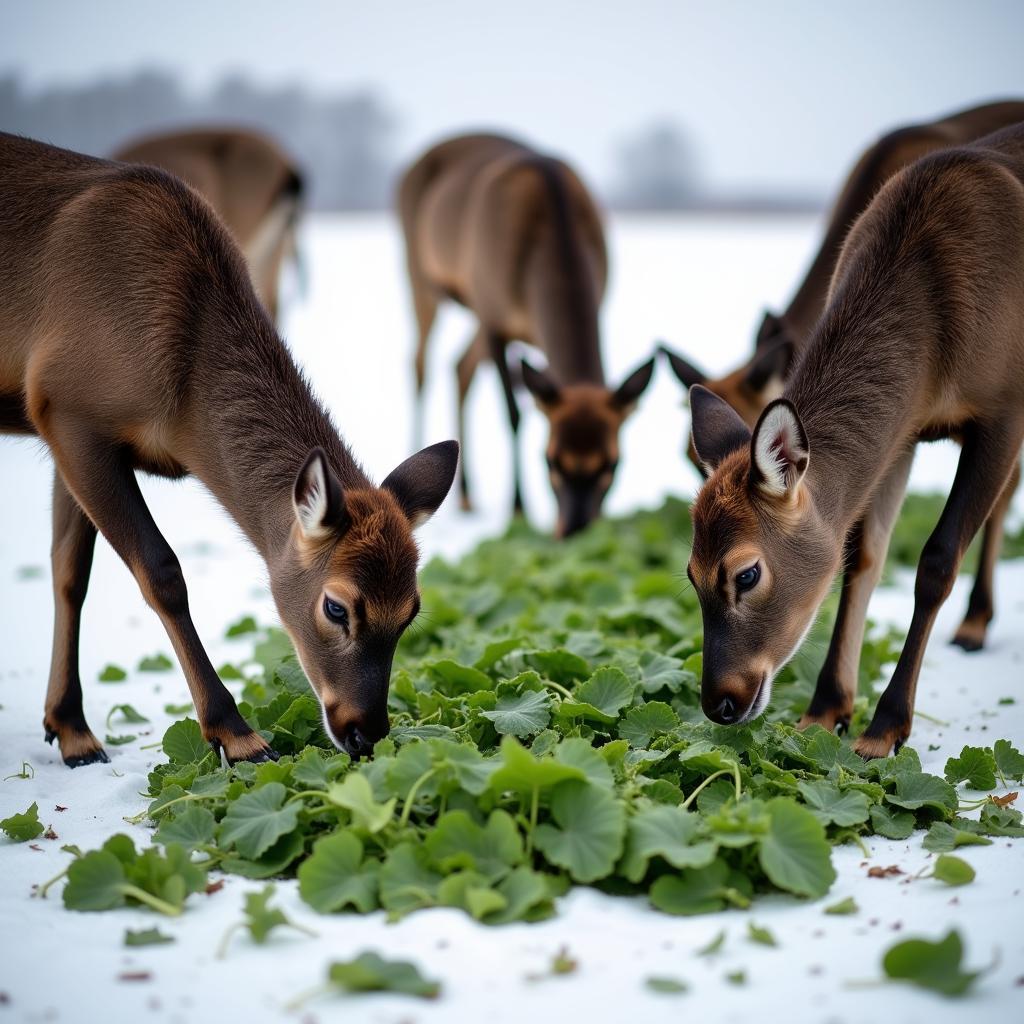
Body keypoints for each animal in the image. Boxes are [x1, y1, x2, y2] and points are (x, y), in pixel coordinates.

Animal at [395, 130, 651, 536]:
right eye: (551, 460)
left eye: (613, 462)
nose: (574, 530)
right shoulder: (493, 317)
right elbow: (514, 413)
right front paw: (518, 509)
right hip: (419, 272)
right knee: (421, 363)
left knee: (460, 366)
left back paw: (466, 494)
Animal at [684, 121, 1024, 761]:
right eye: (690, 573)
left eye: (747, 573)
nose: (720, 703)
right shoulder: (904, 435)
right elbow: (863, 554)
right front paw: (825, 710)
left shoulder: (1004, 409)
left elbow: (937, 560)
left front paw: (886, 725)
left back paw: (975, 624)